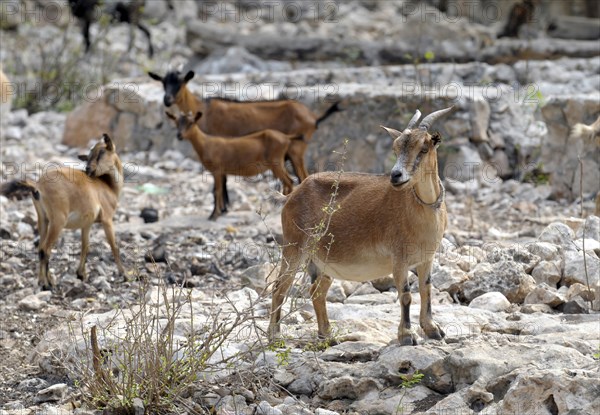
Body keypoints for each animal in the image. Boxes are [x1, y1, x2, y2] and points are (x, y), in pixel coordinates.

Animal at [1, 135, 125, 290]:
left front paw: (81, 274)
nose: (88, 169)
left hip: (43, 220)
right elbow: (114, 246)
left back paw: (45, 281)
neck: (107, 186)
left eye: (101, 151)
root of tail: (38, 185)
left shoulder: (87, 224)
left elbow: (85, 247)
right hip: (57, 222)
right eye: (92, 153)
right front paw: (125, 275)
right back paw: (46, 284)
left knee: (41, 248)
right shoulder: (107, 220)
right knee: (46, 249)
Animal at [270, 108, 452, 348]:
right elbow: (405, 294)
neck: (422, 211)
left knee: (317, 291)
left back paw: (327, 336)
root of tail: (291, 196)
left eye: (424, 148)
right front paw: (407, 335)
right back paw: (274, 336)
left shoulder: (426, 258)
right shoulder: (399, 258)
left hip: (322, 259)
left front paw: (433, 330)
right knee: (280, 287)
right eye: (395, 148)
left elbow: (426, 289)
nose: (396, 176)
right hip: (294, 246)